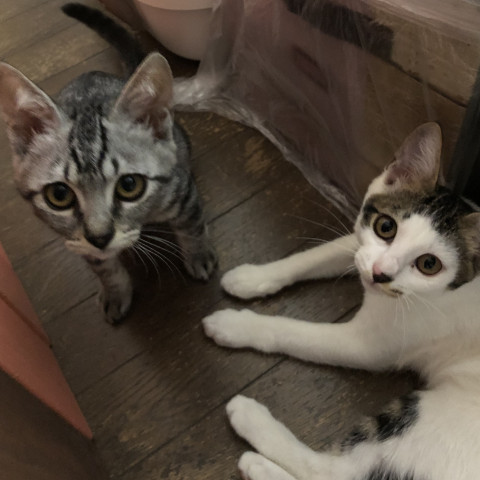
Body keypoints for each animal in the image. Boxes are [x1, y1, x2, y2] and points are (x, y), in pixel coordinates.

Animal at [0, 3, 216, 324]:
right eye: (59, 195)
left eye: (130, 185)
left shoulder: (182, 191)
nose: (99, 237)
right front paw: (115, 292)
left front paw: (199, 255)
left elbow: (193, 226)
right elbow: (104, 268)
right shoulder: (76, 240)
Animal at [203, 122, 480, 480]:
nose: (380, 275)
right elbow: (314, 256)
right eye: (386, 227)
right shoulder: (360, 248)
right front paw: (252, 278)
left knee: (329, 471)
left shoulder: (367, 345)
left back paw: (251, 427)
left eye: (429, 264)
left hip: (430, 417)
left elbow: (291, 332)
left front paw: (235, 324)